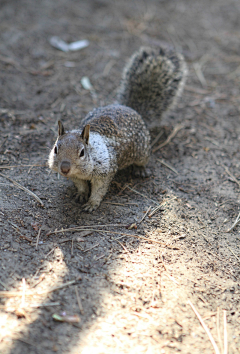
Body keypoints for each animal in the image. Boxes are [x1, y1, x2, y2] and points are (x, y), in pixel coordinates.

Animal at [48, 45, 188, 210]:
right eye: (56, 149)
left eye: (82, 152)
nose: (64, 168)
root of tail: (131, 109)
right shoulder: (76, 176)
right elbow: (81, 185)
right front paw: (81, 194)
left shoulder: (105, 171)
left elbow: (99, 190)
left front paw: (92, 203)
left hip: (142, 151)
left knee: (143, 160)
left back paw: (140, 169)